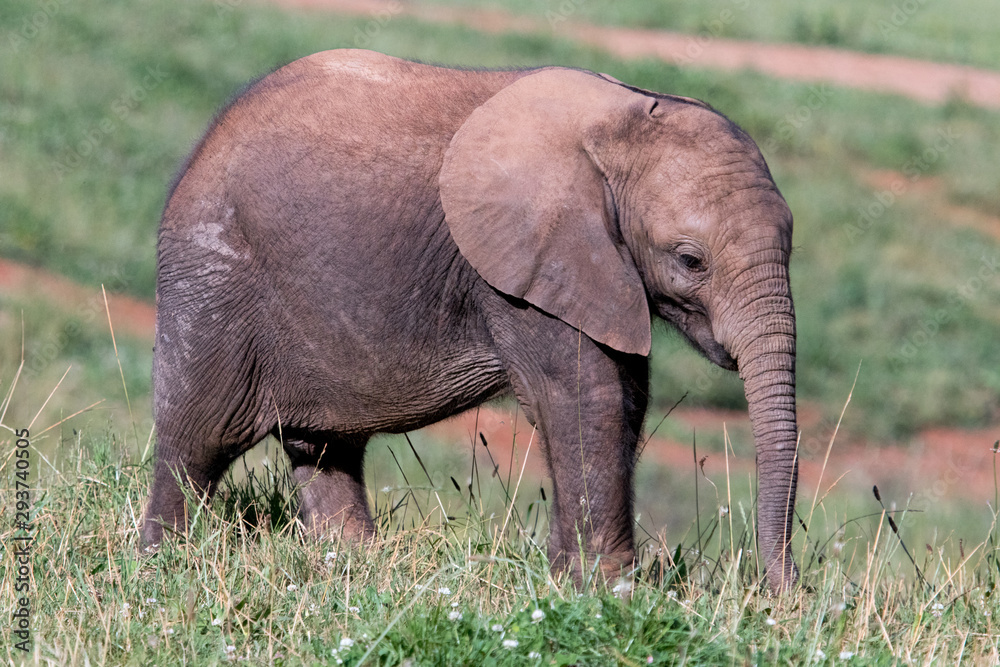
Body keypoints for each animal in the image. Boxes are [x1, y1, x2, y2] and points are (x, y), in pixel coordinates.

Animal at [144, 49, 799, 593]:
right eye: (690, 260)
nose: (782, 597)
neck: (622, 119)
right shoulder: (523, 266)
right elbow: (587, 397)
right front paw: (607, 594)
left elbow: (623, 398)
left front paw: (572, 581)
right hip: (214, 274)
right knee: (197, 440)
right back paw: (163, 566)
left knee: (326, 448)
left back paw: (353, 568)